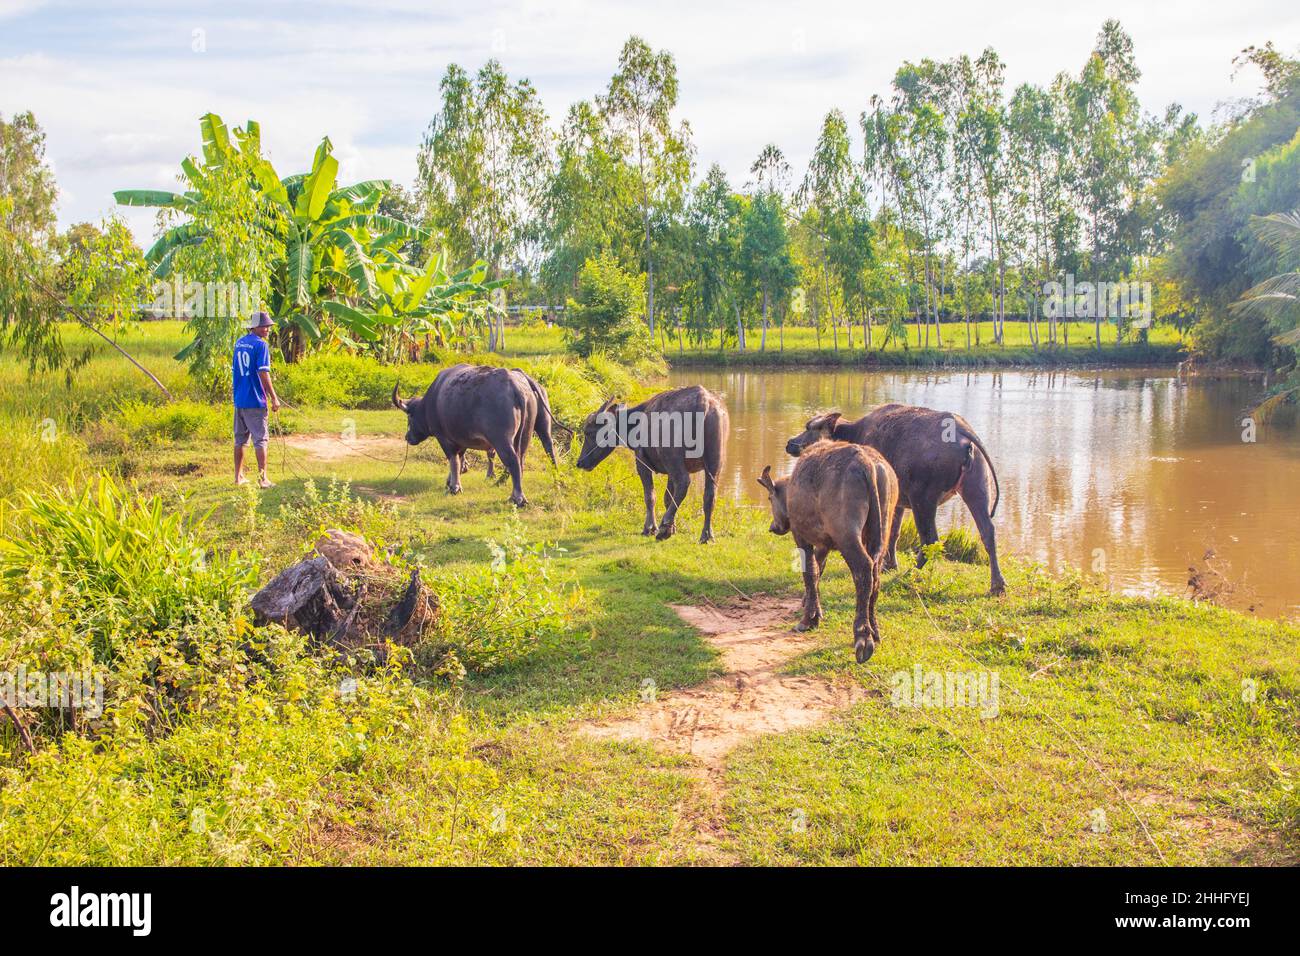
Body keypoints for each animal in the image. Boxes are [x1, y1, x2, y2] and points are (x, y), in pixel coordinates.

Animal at [395, 361, 559, 504]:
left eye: (410, 416)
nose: (407, 437)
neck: (432, 401)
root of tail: (516, 387)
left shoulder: (444, 438)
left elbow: (453, 459)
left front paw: (455, 487)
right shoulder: (460, 438)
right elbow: (460, 458)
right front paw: (452, 480)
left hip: (501, 439)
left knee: (512, 460)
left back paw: (517, 497)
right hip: (534, 431)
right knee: (540, 452)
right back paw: (554, 481)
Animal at [574, 382, 728, 546]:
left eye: (589, 432)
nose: (580, 462)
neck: (636, 423)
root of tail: (704, 403)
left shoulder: (642, 463)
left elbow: (650, 496)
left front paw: (650, 528)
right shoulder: (669, 471)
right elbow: (667, 497)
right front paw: (673, 528)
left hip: (674, 458)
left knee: (683, 484)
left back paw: (664, 528)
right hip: (715, 461)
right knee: (710, 495)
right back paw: (706, 535)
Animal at [759, 437, 899, 660]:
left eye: (770, 498)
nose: (774, 527)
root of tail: (868, 465)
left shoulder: (801, 537)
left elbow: (809, 572)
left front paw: (808, 619)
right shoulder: (824, 545)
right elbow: (818, 571)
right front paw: (814, 611)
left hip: (847, 536)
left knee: (863, 571)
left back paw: (863, 637)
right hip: (881, 533)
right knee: (875, 576)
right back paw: (875, 630)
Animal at [780, 403, 1003, 598]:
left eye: (810, 427)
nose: (790, 443)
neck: (854, 433)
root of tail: (963, 432)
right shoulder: (897, 503)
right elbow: (893, 533)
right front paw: (890, 565)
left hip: (923, 499)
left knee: (929, 539)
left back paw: (908, 575)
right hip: (977, 489)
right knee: (988, 533)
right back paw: (997, 585)